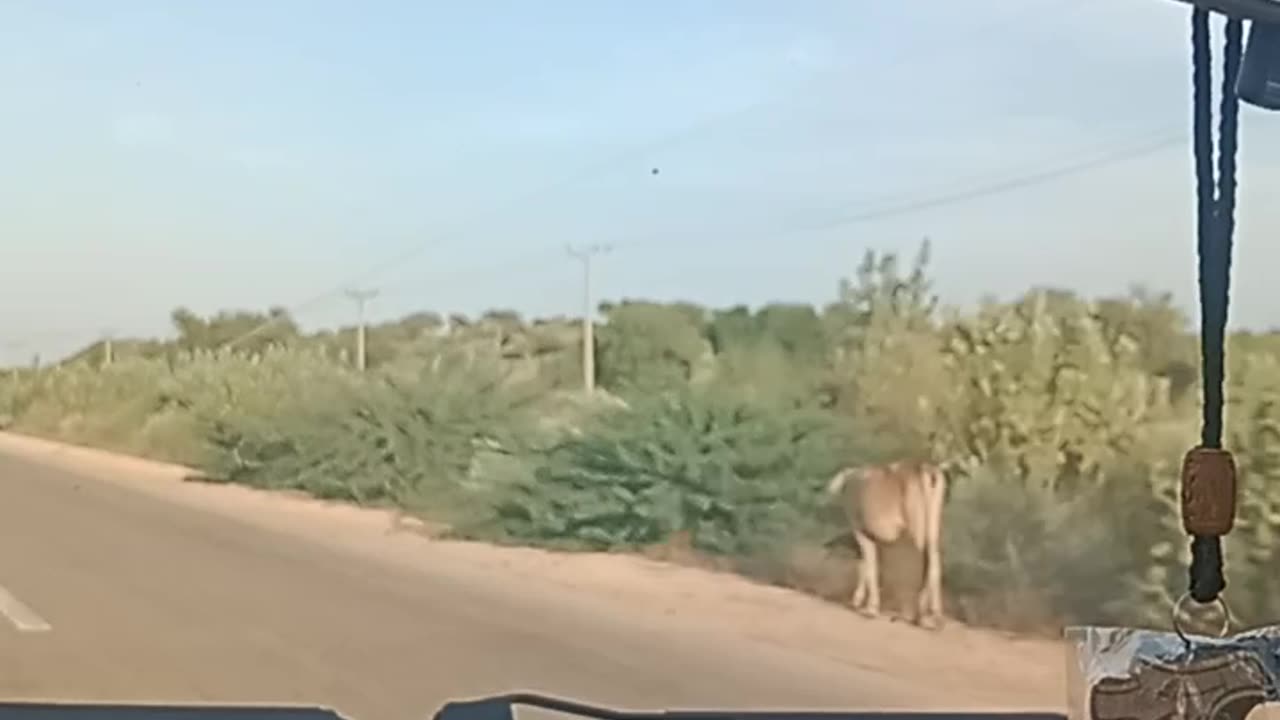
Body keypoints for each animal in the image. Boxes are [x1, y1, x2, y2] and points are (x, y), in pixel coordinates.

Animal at [824, 461, 947, 625]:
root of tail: (925, 469)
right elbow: (865, 565)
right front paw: (858, 601)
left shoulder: (862, 532)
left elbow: (870, 567)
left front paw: (871, 609)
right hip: (932, 526)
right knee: (934, 563)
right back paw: (934, 615)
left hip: (916, 526)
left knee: (922, 563)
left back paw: (915, 614)